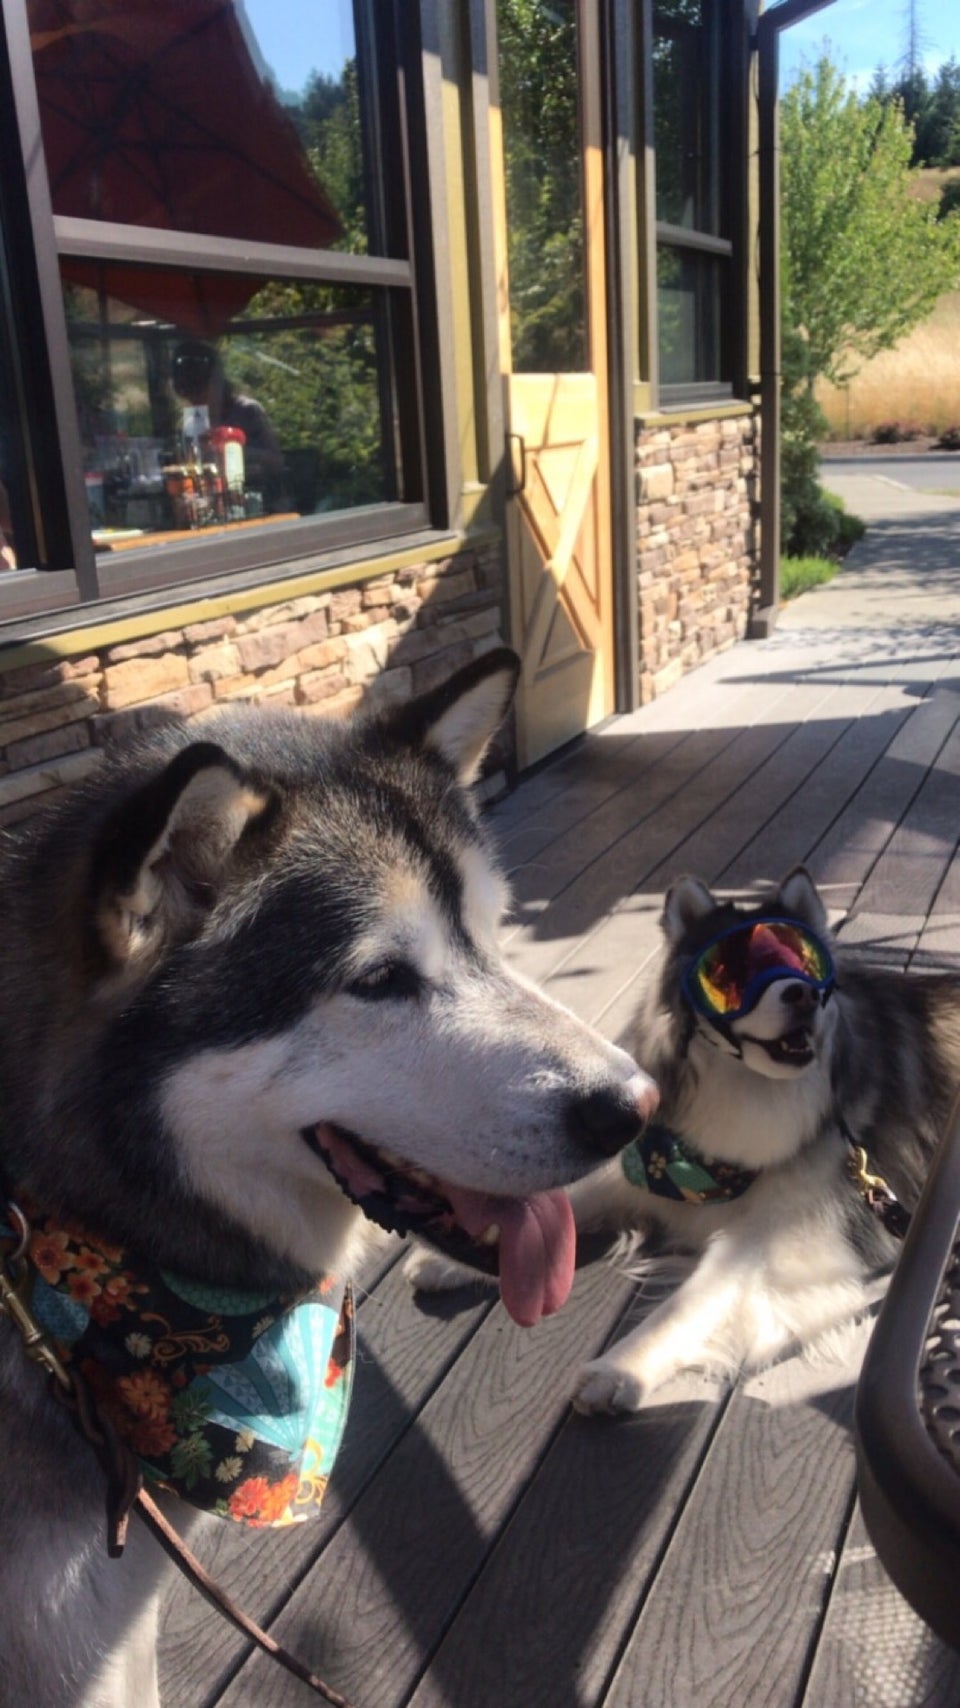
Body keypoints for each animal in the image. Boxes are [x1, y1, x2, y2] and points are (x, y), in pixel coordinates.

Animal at [408, 866, 960, 1415]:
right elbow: (561, 1207)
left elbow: (689, 1303)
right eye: (730, 973)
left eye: (806, 965)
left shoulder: (775, 1241)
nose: (803, 994)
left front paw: (620, 1369)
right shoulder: (640, 1172)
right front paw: (455, 1249)